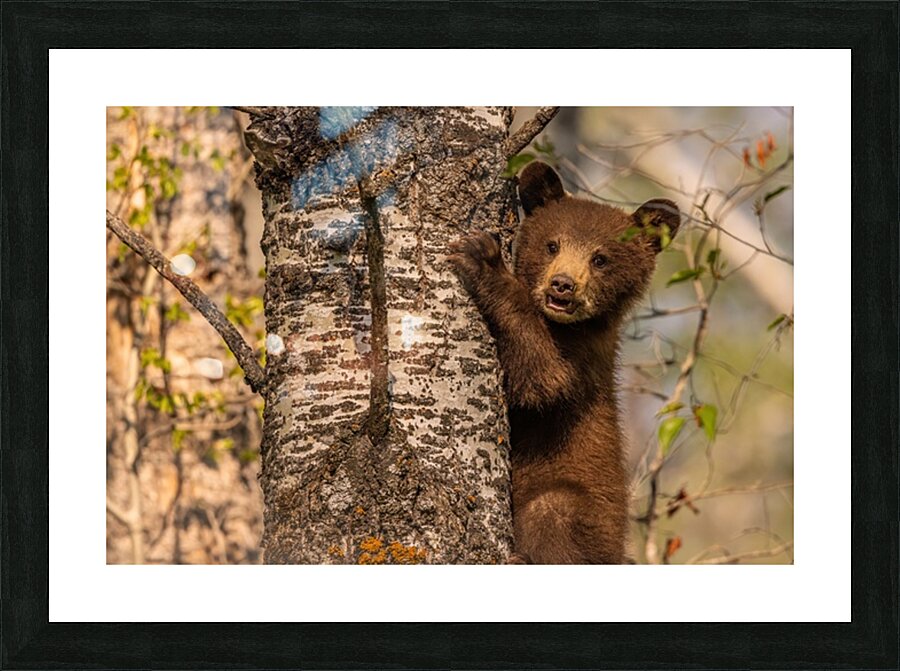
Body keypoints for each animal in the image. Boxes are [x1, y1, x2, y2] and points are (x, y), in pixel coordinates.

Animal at [448, 161, 680, 564]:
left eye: (600, 258)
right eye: (552, 244)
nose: (562, 285)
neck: (566, 327)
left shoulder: (582, 360)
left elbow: (541, 379)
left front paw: (483, 260)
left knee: (552, 512)